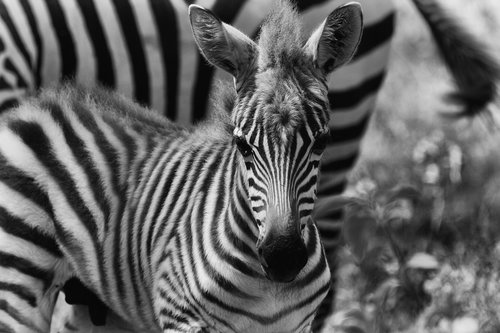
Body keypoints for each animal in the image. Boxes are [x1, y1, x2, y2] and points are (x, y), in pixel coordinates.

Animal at [0, 1, 364, 330]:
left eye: (321, 142)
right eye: (242, 144)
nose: (283, 259)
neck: (268, 288)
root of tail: (35, 107)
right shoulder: (183, 319)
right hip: (18, 273)